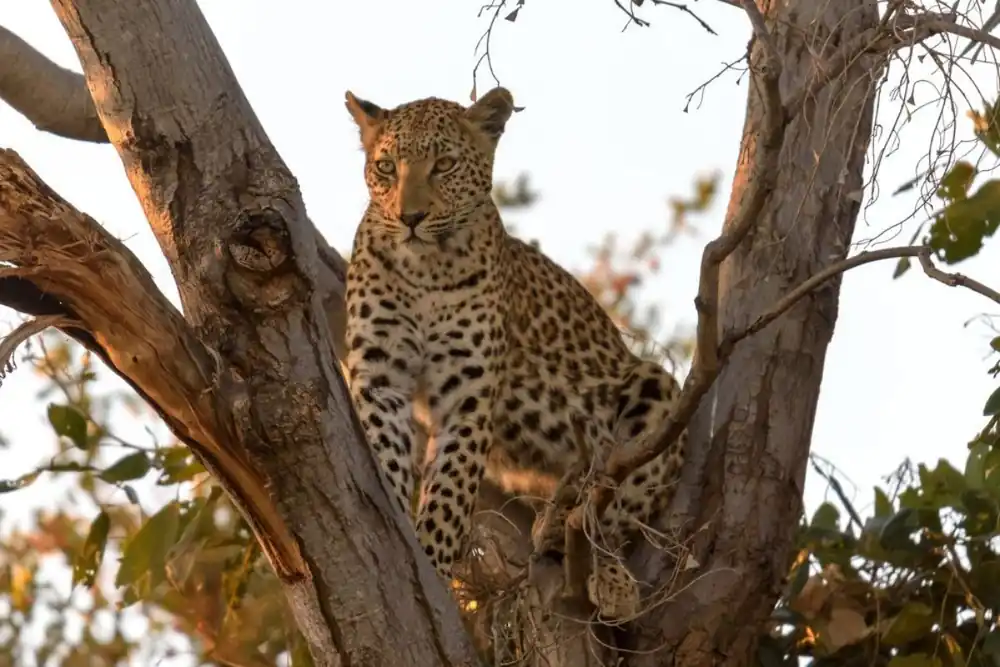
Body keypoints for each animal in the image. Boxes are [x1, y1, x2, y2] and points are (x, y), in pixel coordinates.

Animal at [341, 85, 688, 620]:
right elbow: (386, 458)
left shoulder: (467, 394)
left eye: (444, 165)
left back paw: (595, 562)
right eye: (386, 167)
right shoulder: (381, 377)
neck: (425, 270)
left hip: (655, 390)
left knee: (610, 514)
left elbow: (450, 492)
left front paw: (433, 564)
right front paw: (396, 530)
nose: (410, 218)